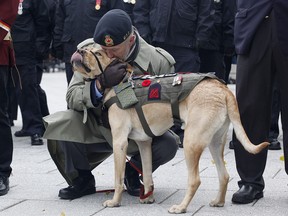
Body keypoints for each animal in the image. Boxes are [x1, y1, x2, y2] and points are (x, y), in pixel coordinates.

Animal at [71, 44, 268, 214]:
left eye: (98, 53)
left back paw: (181, 207)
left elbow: (118, 179)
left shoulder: (119, 142)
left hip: (190, 142)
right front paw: (148, 197)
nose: (79, 50)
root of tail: (223, 89)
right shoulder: (144, 143)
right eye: (86, 48)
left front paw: (115, 202)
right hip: (214, 142)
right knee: (224, 175)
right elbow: (147, 173)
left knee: (195, 180)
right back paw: (218, 202)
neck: (118, 83)